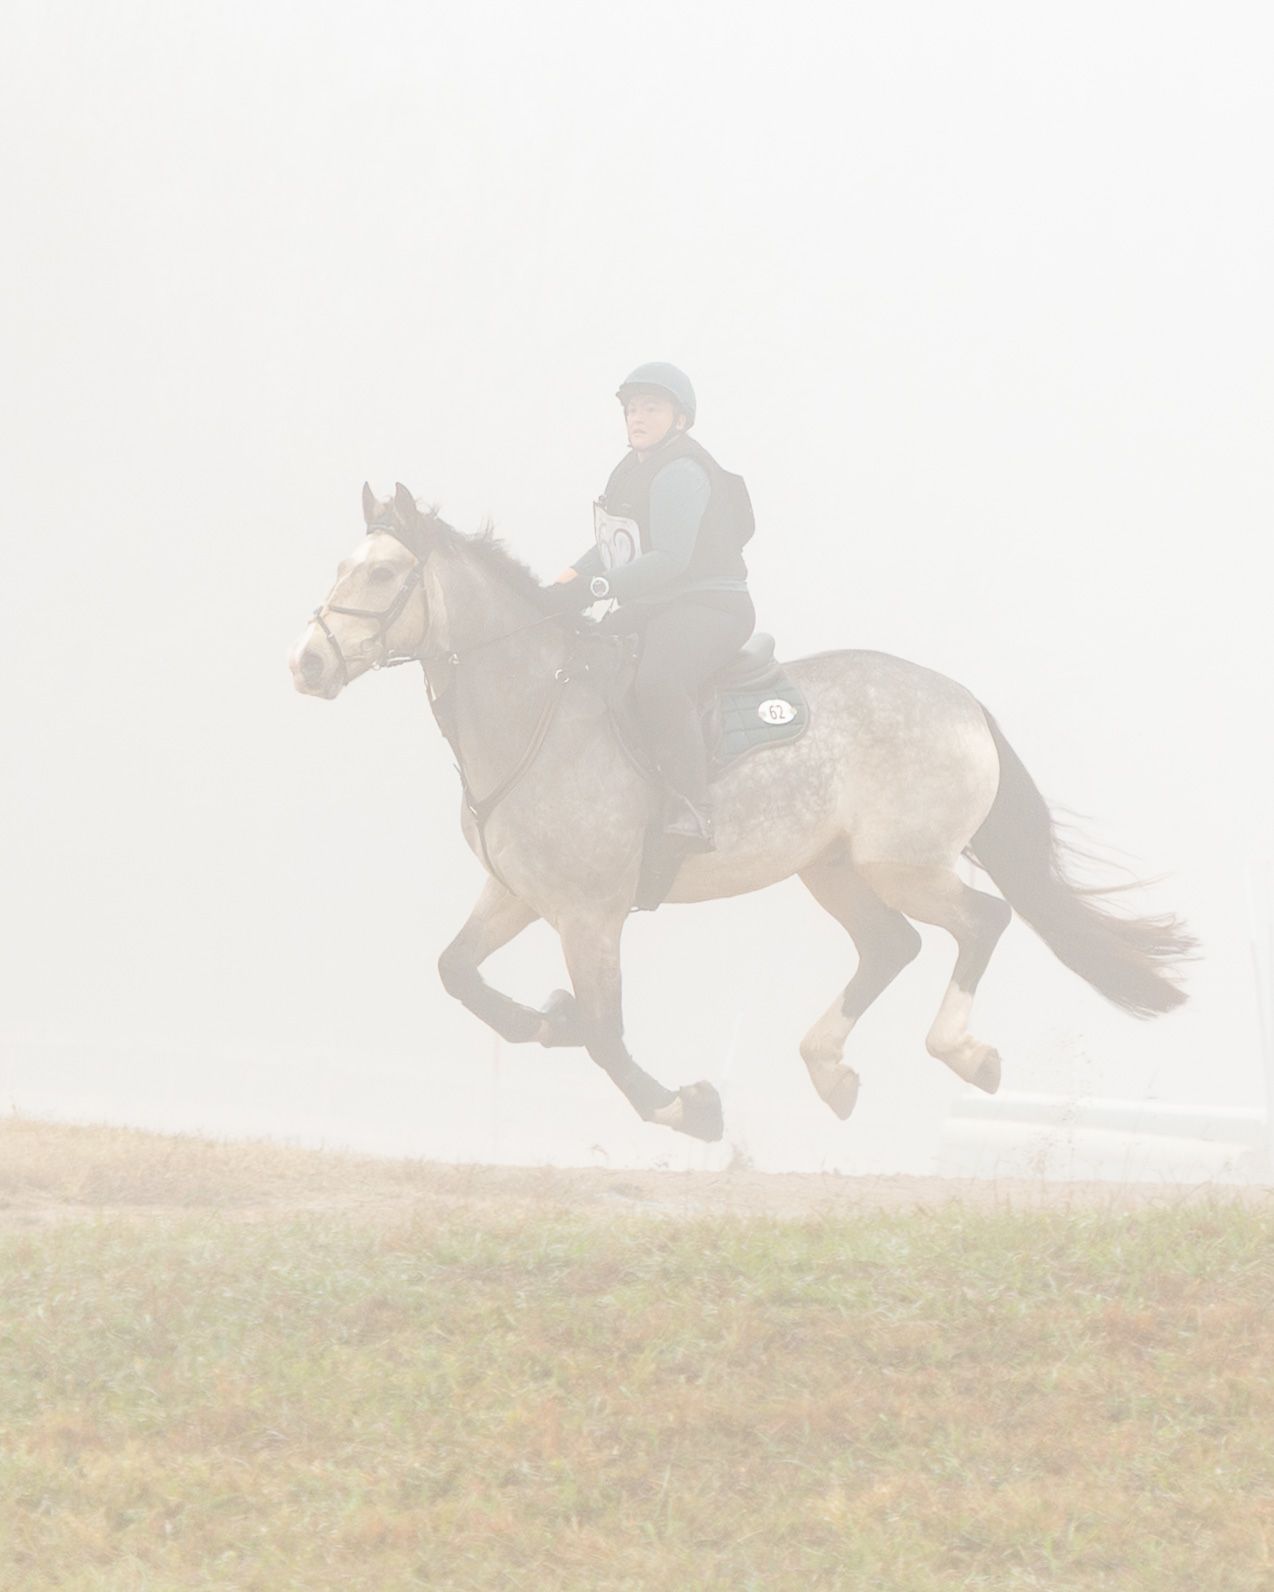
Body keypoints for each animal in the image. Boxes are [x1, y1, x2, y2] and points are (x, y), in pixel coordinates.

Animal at [288, 482, 1192, 1143]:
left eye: (381, 574)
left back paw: (962, 1053)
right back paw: (829, 1068)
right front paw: (549, 1022)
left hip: (902, 863)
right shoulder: (516, 894)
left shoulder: (589, 911)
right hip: (832, 870)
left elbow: (608, 1033)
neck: (533, 710)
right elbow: (459, 974)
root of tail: (964, 702)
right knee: (891, 946)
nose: (306, 664)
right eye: (339, 564)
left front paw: (685, 1107)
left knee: (983, 920)